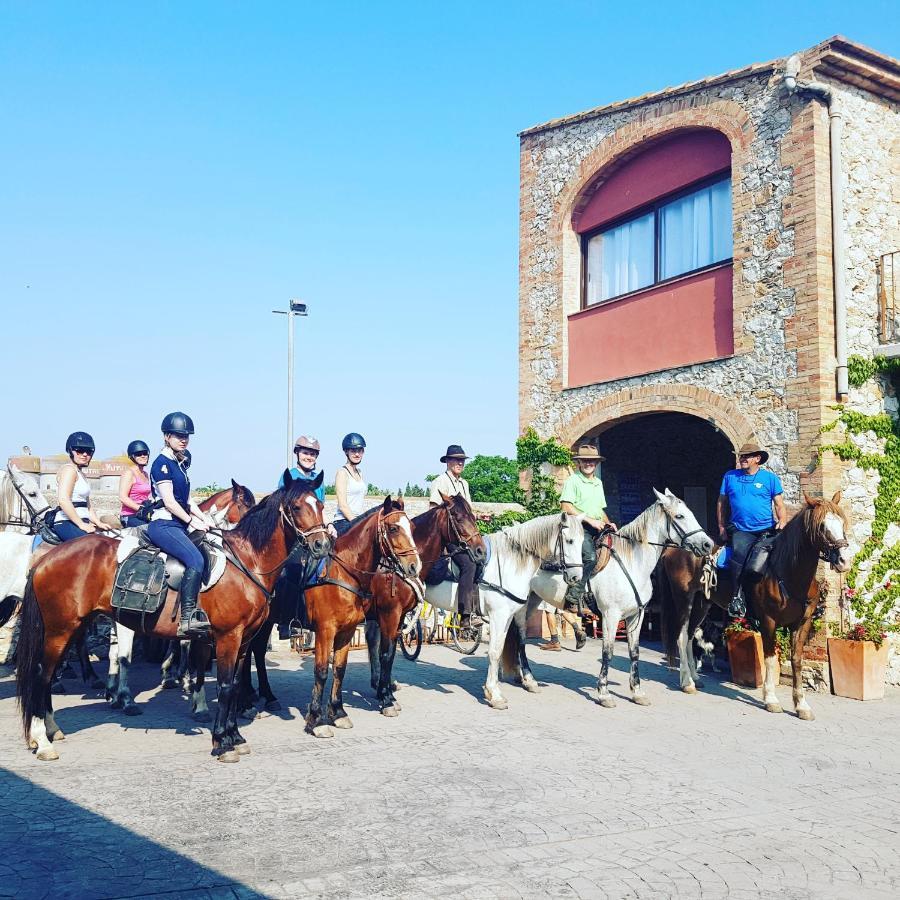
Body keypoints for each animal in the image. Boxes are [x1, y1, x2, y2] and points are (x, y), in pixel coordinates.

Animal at [13, 472, 330, 760]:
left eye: (320, 504)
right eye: (297, 507)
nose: (322, 545)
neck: (246, 562)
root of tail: (45, 559)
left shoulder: (244, 639)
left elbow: (235, 683)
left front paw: (235, 736)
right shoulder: (228, 637)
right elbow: (226, 686)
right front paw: (221, 742)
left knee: (48, 675)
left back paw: (52, 729)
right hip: (59, 630)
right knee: (42, 675)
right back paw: (43, 740)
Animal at [302, 496, 422, 736]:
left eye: (412, 528)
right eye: (393, 528)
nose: (414, 565)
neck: (343, 572)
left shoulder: (349, 630)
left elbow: (340, 669)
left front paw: (338, 713)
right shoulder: (326, 629)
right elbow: (322, 671)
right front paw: (316, 721)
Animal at [362, 496, 486, 712]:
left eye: (473, 515)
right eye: (457, 517)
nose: (481, 551)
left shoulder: (398, 616)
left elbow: (390, 653)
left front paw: (386, 692)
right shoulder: (389, 614)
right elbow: (386, 653)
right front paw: (386, 699)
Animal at [532, 492, 712, 712]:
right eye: (679, 516)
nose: (707, 544)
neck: (632, 563)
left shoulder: (636, 615)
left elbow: (634, 652)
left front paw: (637, 693)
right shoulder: (610, 615)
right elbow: (607, 653)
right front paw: (604, 694)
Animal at [656, 488, 848, 720]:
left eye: (842, 522)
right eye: (822, 526)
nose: (843, 560)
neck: (786, 571)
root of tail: (672, 548)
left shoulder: (802, 623)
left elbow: (797, 660)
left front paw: (801, 705)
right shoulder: (768, 621)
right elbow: (769, 658)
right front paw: (771, 700)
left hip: (702, 604)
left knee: (692, 636)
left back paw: (696, 677)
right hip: (684, 601)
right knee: (682, 637)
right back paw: (687, 682)